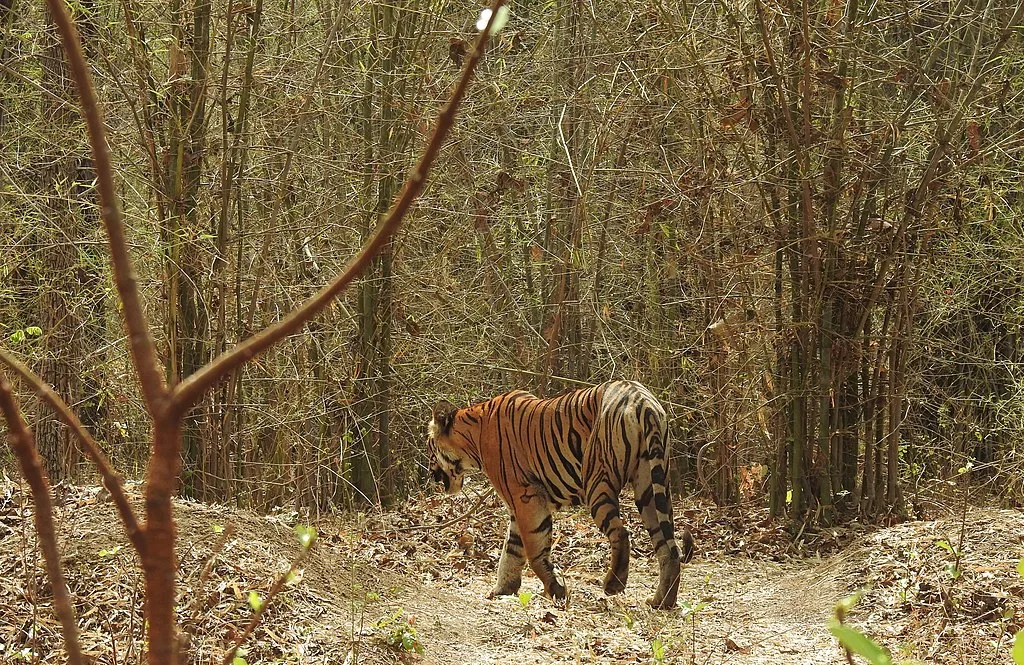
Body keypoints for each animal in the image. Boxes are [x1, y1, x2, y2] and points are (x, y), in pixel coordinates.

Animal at [423, 379, 696, 606]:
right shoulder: (518, 505)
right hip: (650, 483)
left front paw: (556, 590)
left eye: (429, 447)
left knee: (621, 532)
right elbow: (512, 549)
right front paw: (503, 589)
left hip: (598, 480)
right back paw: (662, 601)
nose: (431, 475)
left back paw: (613, 584)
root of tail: (643, 401)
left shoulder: (526, 497)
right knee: (669, 547)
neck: (472, 440)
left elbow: (533, 550)